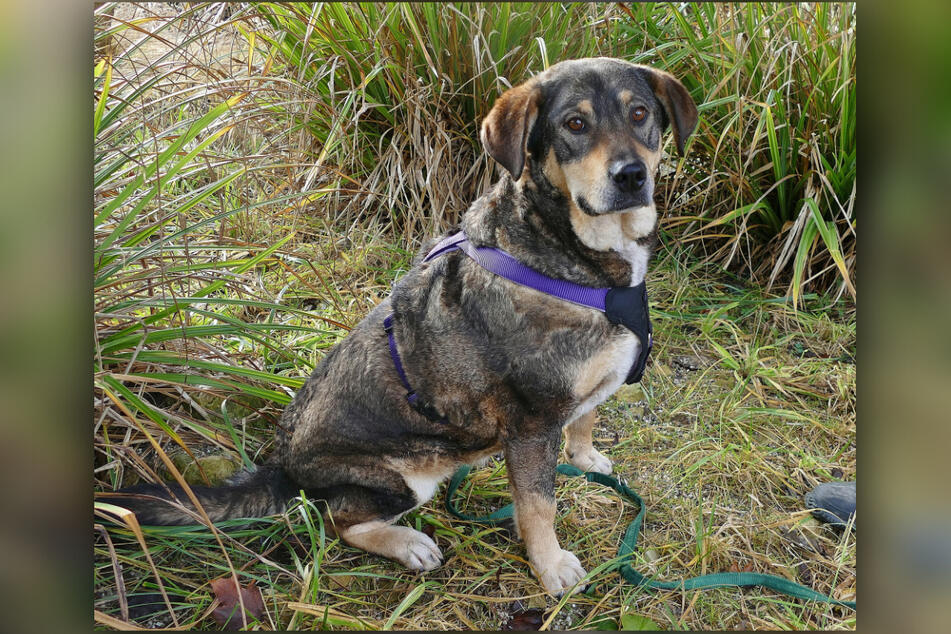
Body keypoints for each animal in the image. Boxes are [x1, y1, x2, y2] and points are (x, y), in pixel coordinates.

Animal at [109, 58, 700, 592]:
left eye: (640, 113)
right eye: (574, 124)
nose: (631, 176)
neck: (576, 259)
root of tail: (282, 466)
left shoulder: (579, 397)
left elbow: (586, 419)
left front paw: (586, 459)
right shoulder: (531, 427)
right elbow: (538, 506)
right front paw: (550, 566)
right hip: (400, 479)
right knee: (339, 520)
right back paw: (408, 544)